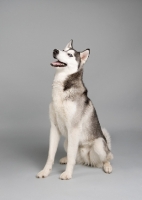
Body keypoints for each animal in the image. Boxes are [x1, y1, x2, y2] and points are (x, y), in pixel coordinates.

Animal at [37, 39, 113, 180]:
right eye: (63, 50)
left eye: (70, 55)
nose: (55, 50)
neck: (61, 90)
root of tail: (87, 160)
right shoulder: (54, 127)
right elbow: (50, 155)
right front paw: (45, 171)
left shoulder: (73, 128)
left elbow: (72, 155)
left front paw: (67, 173)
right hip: (67, 142)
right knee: (76, 158)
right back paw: (65, 159)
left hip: (99, 144)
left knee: (107, 157)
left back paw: (107, 166)